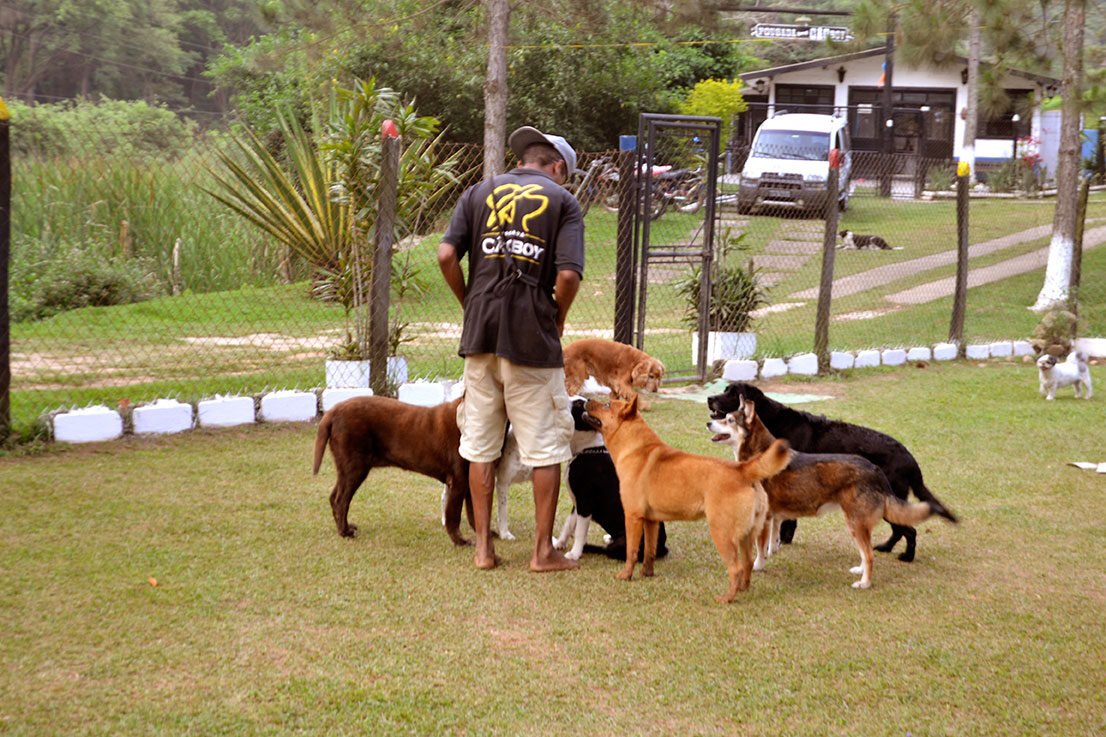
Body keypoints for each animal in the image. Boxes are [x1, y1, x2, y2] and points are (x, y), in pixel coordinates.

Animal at [311, 396, 471, 544]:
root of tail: (332, 412)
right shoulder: (458, 480)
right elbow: (454, 515)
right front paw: (461, 541)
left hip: (346, 469)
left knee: (334, 497)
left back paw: (344, 527)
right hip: (354, 468)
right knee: (341, 500)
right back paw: (345, 532)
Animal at [579, 393, 787, 601]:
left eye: (607, 404)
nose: (585, 399)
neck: (636, 448)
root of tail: (743, 470)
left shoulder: (633, 517)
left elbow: (631, 551)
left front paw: (626, 575)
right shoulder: (651, 521)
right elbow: (649, 552)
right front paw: (647, 574)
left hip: (722, 533)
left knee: (736, 568)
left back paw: (726, 598)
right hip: (746, 535)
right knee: (748, 562)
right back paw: (742, 589)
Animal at [712, 398, 955, 588]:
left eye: (729, 420)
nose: (708, 422)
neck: (760, 454)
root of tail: (874, 469)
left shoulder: (763, 518)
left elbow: (759, 549)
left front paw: (758, 566)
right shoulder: (774, 515)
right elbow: (773, 540)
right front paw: (773, 552)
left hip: (856, 522)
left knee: (872, 553)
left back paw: (865, 583)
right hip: (858, 524)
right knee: (869, 551)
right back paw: (861, 569)